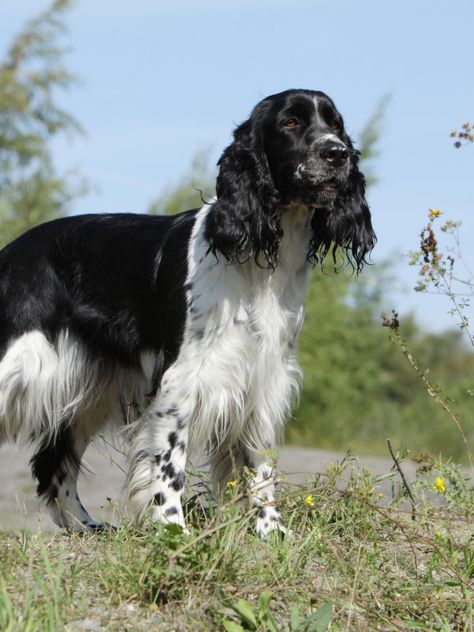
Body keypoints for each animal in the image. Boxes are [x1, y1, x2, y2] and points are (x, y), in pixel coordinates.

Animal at [0, 87, 376, 532]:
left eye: (335, 125)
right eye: (291, 123)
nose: (338, 154)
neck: (260, 256)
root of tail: (8, 253)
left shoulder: (263, 376)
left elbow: (260, 463)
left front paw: (271, 528)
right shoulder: (181, 377)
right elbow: (169, 459)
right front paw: (172, 526)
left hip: (90, 387)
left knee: (55, 464)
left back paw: (86, 527)